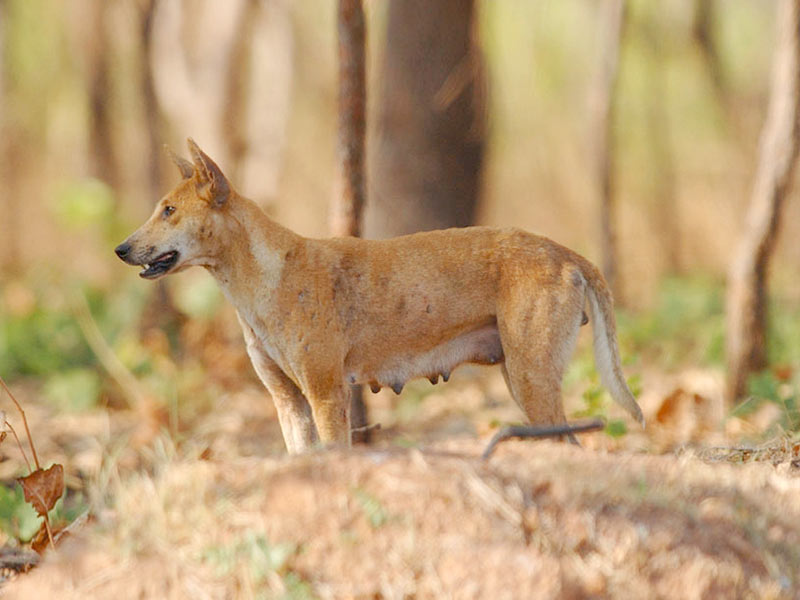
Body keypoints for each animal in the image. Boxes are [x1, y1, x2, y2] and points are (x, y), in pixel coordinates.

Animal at [114, 139, 644, 450]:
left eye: (168, 210)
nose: (120, 248)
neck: (262, 280)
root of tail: (564, 251)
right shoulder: (289, 403)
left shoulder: (327, 394)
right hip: (522, 379)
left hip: (531, 379)